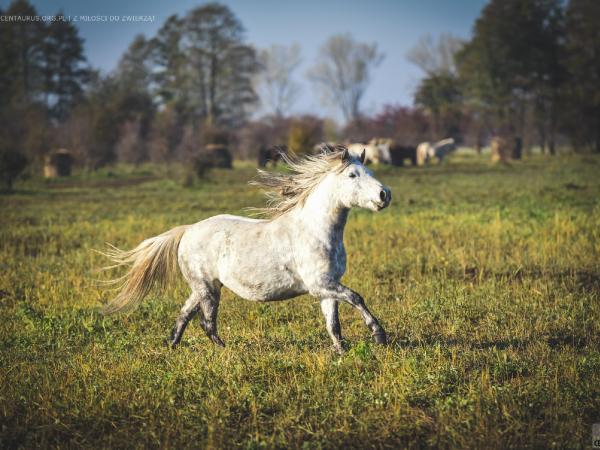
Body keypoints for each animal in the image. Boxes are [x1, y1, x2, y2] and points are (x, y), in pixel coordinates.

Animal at [102, 146, 394, 354]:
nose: (385, 195)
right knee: (206, 322)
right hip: (207, 288)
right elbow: (357, 298)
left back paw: (172, 347)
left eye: (369, 172)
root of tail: (187, 230)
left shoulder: (327, 286)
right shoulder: (320, 284)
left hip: (204, 287)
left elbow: (333, 324)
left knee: (184, 315)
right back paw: (225, 350)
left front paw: (341, 352)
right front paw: (379, 335)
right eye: (353, 175)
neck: (315, 230)